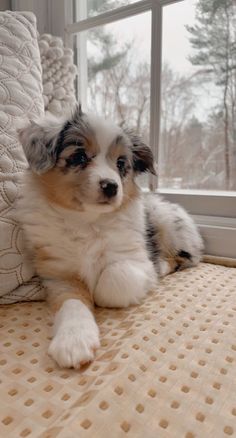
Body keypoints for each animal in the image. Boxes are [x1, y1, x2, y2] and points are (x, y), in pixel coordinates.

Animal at [18, 106, 203, 370]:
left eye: (121, 163)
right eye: (79, 157)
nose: (111, 186)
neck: (87, 222)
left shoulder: (134, 257)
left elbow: (113, 279)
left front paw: (101, 291)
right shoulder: (57, 273)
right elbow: (72, 302)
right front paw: (73, 341)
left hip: (166, 221)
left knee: (185, 258)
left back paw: (164, 265)